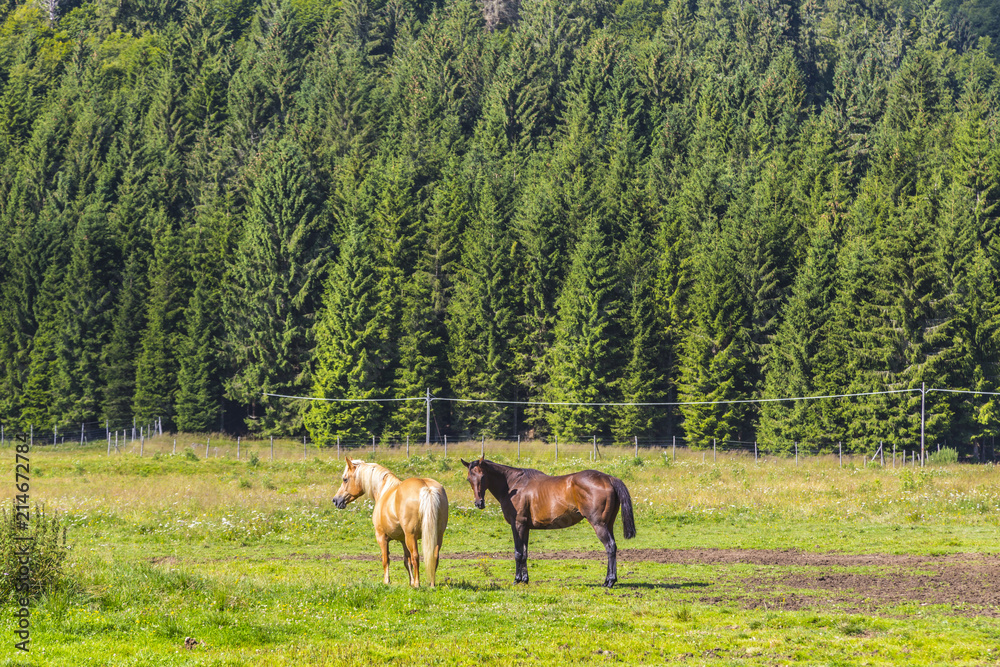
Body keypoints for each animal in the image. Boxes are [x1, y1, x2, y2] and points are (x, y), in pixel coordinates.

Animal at [332, 458, 449, 587]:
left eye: (345, 479)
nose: (336, 500)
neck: (384, 490)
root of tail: (427, 488)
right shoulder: (403, 540)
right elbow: (406, 561)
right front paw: (410, 582)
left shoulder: (382, 537)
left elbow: (386, 560)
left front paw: (387, 581)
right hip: (437, 536)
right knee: (434, 557)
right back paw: (431, 584)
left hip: (411, 536)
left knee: (416, 556)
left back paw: (417, 584)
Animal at [461, 456, 635, 587]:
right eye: (469, 478)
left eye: (483, 476)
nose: (479, 503)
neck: (513, 485)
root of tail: (609, 478)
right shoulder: (526, 527)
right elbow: (525, 553)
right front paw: (525, 579)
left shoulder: (517, 525)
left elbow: (518, 553)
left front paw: (517, 580)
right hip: (608, 524)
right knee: (611, 548)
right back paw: (607, 580)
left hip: (599, 525)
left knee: (610, 547)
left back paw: (610, 581)